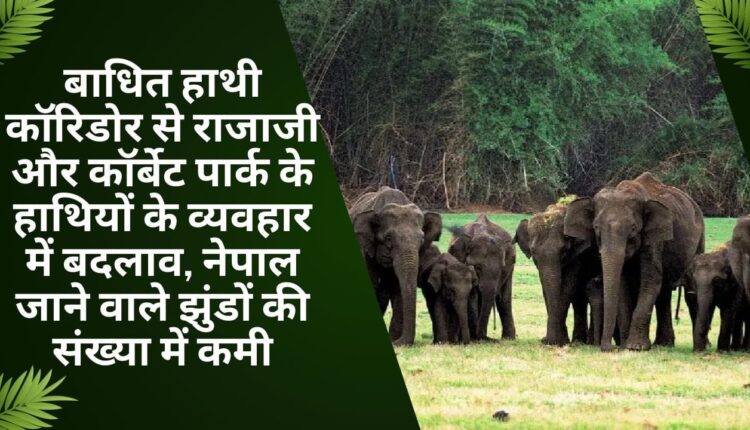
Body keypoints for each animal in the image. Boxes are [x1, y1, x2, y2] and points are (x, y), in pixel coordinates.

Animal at [349, 186, 442, 346]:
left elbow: (399, 289)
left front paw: (394, 340)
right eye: (388, 238)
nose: (398, 342)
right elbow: (372, 283)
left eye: (421, 239)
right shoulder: (365, 248)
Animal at [514, 202, 600, 346]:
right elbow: (545, 287)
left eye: (564, 251)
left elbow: (567, 287)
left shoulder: (577, 255)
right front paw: (558, 341)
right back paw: (579, 341)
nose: (545, 340)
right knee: (579, 298)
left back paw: (586, 342)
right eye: (533, 252)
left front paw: (557, 342)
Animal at [564, 172, 705, 351]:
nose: (609, 348)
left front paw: (636, 347)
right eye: (596, 228)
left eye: (633, 228)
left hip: (700, 239)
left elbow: (650, 280)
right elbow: (623, 284)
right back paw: (664, 344)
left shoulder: (654, 239)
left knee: (690, 293)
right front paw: (626, 345)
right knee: (664, 294)